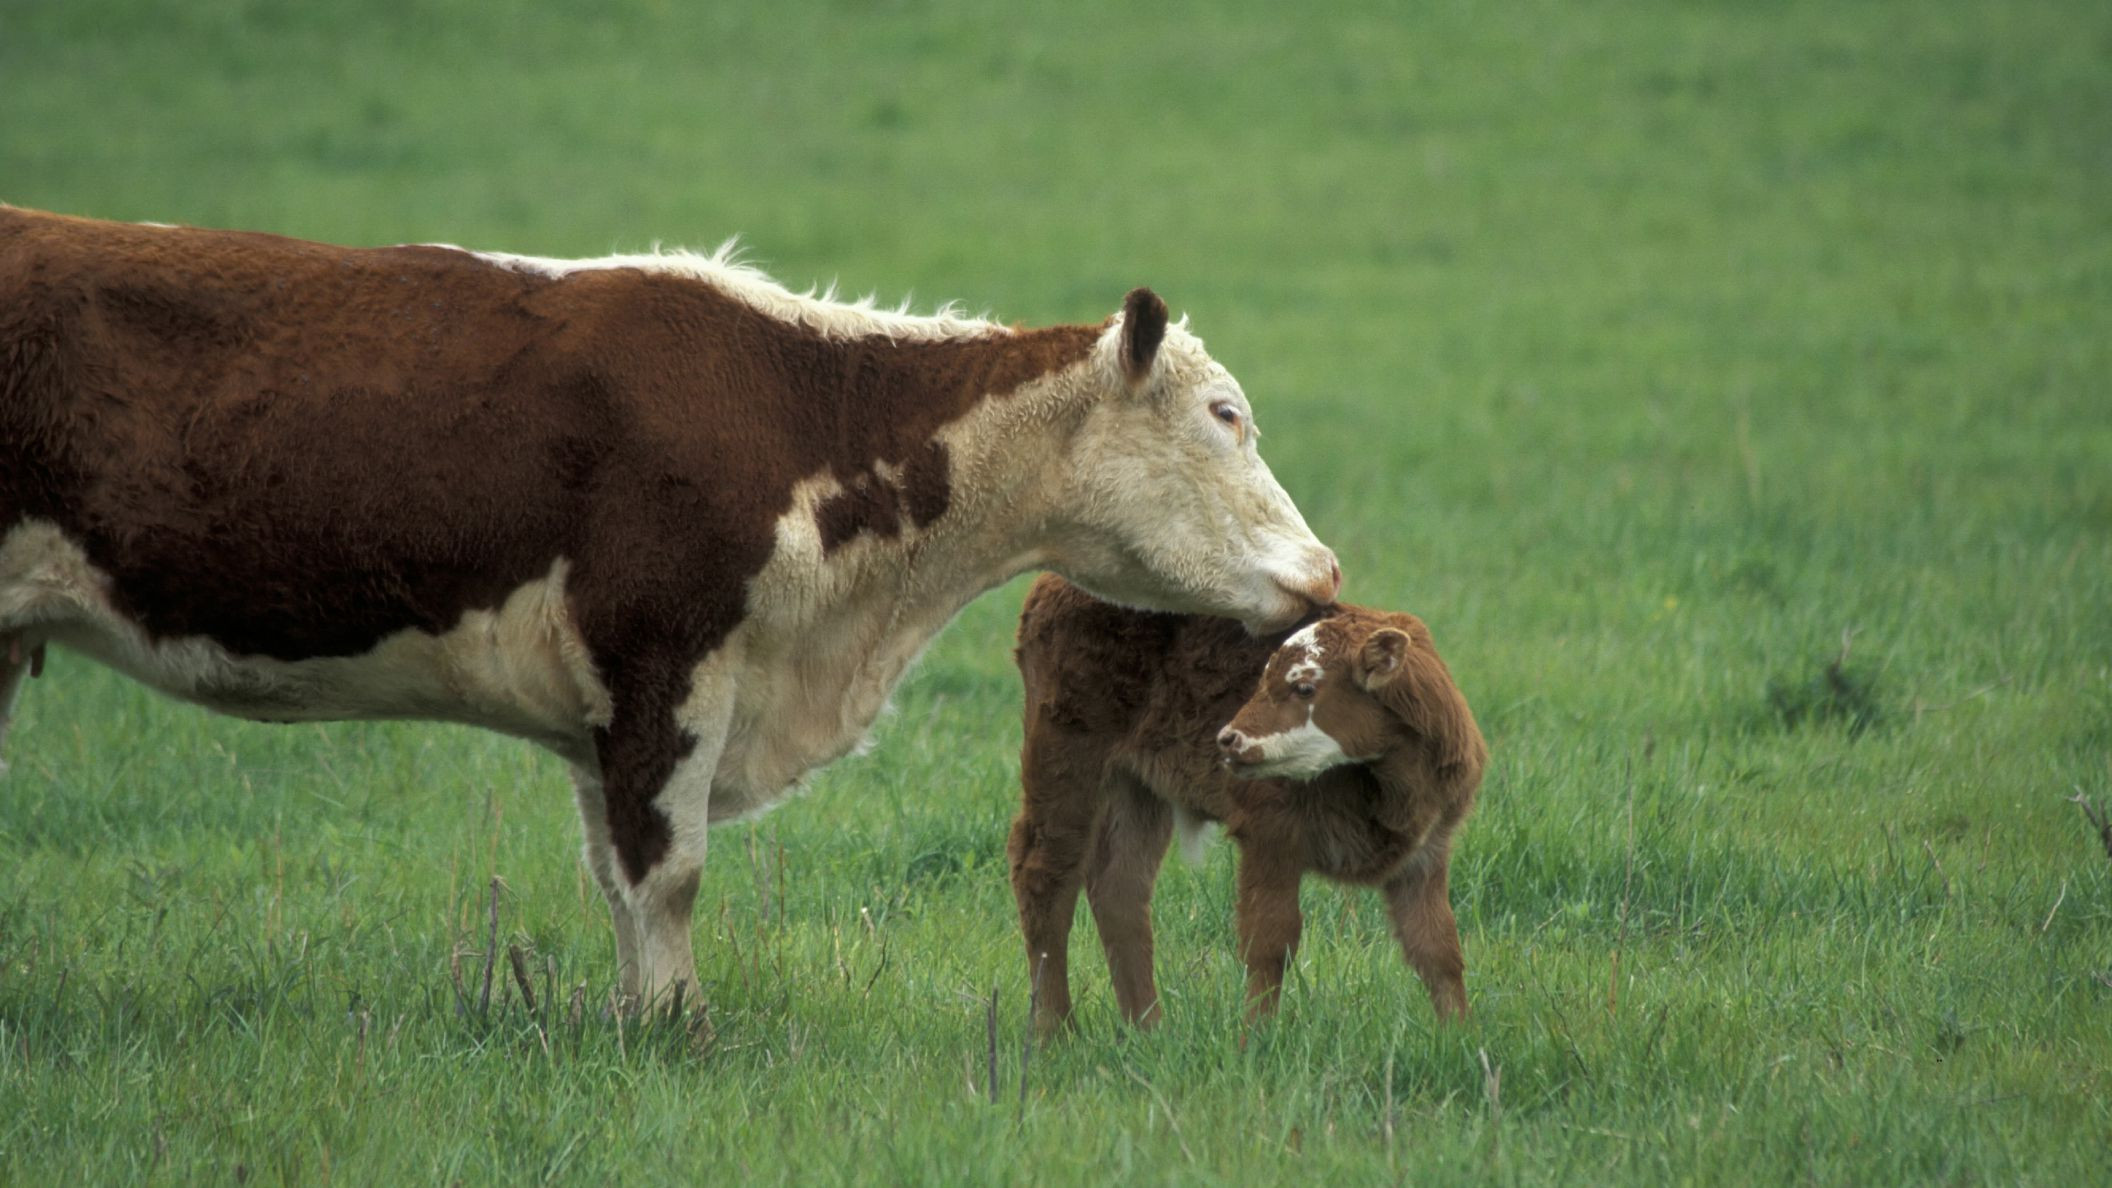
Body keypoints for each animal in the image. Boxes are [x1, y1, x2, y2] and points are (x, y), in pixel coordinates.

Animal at [0, 208, 1334, 1001]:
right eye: (1227, 416)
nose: (1324, 573)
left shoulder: (613, 704)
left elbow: (618, 873)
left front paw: (641, 1022)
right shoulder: (663, 660)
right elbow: (668, 871)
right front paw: (677, 1031)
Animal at [1009, 574, 1486, 1027]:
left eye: (1305, 687)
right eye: (1261, 679)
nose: (1228, 738)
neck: (1392, 788)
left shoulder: (1426, 853)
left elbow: (1437, 948)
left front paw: (1460, 1036)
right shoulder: (1269, 836)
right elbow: (1270, 943)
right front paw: (1255, 1039)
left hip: (1136, 787)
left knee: (1119, 887)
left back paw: (1147, 1029)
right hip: (1065, 758)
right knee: (1044, 874)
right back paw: (1054, 1030)